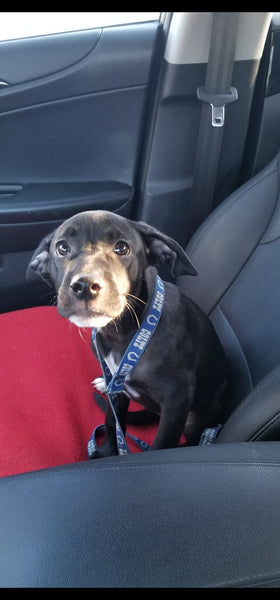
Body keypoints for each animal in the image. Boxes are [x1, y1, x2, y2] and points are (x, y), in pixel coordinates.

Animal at [26, 209, 228, 458]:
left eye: (122, 248)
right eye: (62, 248)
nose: (85, 286)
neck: (124, 334)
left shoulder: (176, 401)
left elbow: (162, 444)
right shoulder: (118, 386)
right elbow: (112, 421)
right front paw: (107, 451)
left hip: (198, 413)